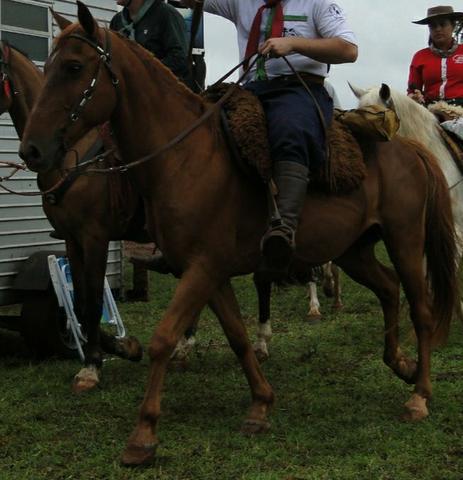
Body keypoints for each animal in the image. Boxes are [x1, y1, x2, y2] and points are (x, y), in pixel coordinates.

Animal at [0, 40, 144, 378]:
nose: (31, 151)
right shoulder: (71, 239)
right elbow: (78, 303)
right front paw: (121, 347)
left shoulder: (95, 238)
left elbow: (93, 301)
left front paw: (94, 359)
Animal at [19, 1, 460, 464]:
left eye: (73, 67)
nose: (32, 149)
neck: (186, 157)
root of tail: (409, 148)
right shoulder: (207, 272)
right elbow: (237, 335)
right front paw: (261, 404)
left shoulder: (197, 266)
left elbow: (162, 338)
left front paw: (143, 433)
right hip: (352, 250)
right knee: (389, 289)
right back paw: (401, 364)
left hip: (405, 241)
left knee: (421, 309)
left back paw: (419, 395)